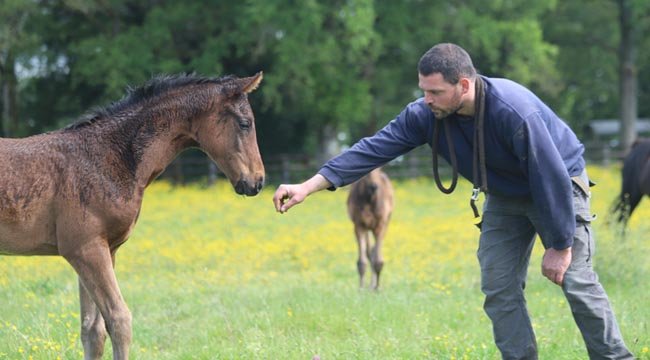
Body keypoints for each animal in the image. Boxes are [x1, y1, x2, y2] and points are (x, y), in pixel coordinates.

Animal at [0, 71, 264, 358]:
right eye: (245, 123)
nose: (257, 182)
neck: (108, 158)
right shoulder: (85, 249)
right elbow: (119, 320)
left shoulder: (104, 249)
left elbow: (92, 330)